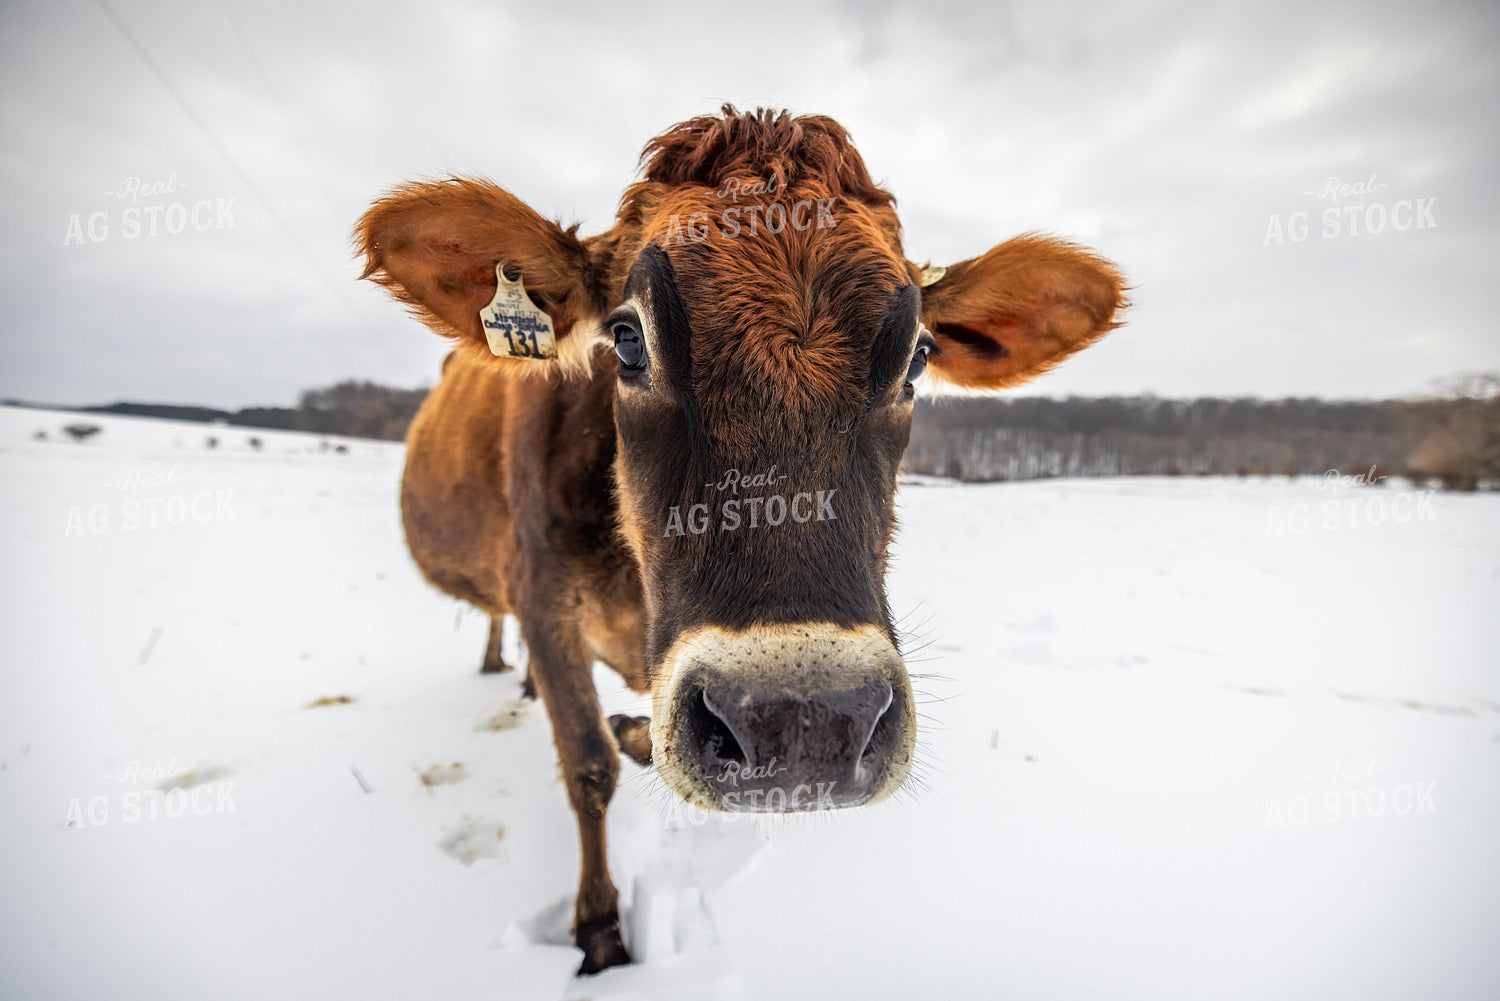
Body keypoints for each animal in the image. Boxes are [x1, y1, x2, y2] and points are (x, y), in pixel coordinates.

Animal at [356, 105, 1126, 973]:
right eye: (628, 339)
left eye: (919, 357)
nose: (802, 722)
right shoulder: (543, 595)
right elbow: (586, 764)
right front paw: (601, 927)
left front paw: (632, 739)